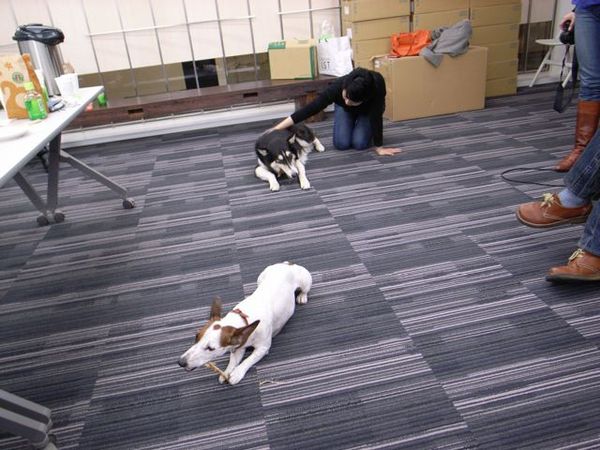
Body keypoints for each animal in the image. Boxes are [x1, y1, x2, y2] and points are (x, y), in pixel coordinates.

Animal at [178, 262, 312, 385]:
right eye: (196, 337)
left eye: (210, 348)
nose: (181, 362)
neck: (243, 317)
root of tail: (287, 264)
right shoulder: (238, 346)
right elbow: (233, 360)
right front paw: (226, 372)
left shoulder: (263, 348)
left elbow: (248, 360)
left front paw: (237, 373)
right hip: (261, 277)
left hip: (305, 280)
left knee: (304, 290)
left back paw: (302, 296)